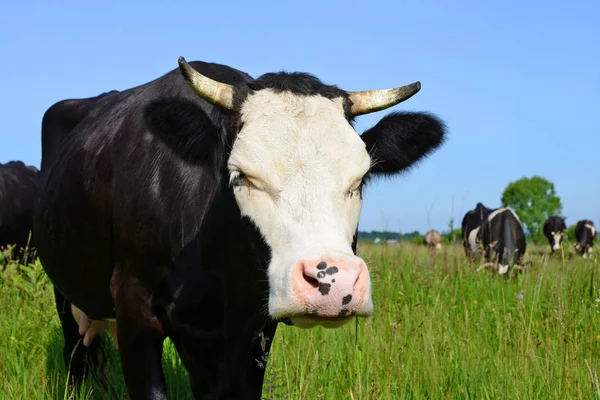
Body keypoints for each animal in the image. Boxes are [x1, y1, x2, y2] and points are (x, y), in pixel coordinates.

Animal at [32, 57, 446, 400]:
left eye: (360, 179)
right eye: (242, 175)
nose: (333, 281)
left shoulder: (249, 333)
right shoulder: (134, 303)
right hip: (66, 292)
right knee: (76, 357)